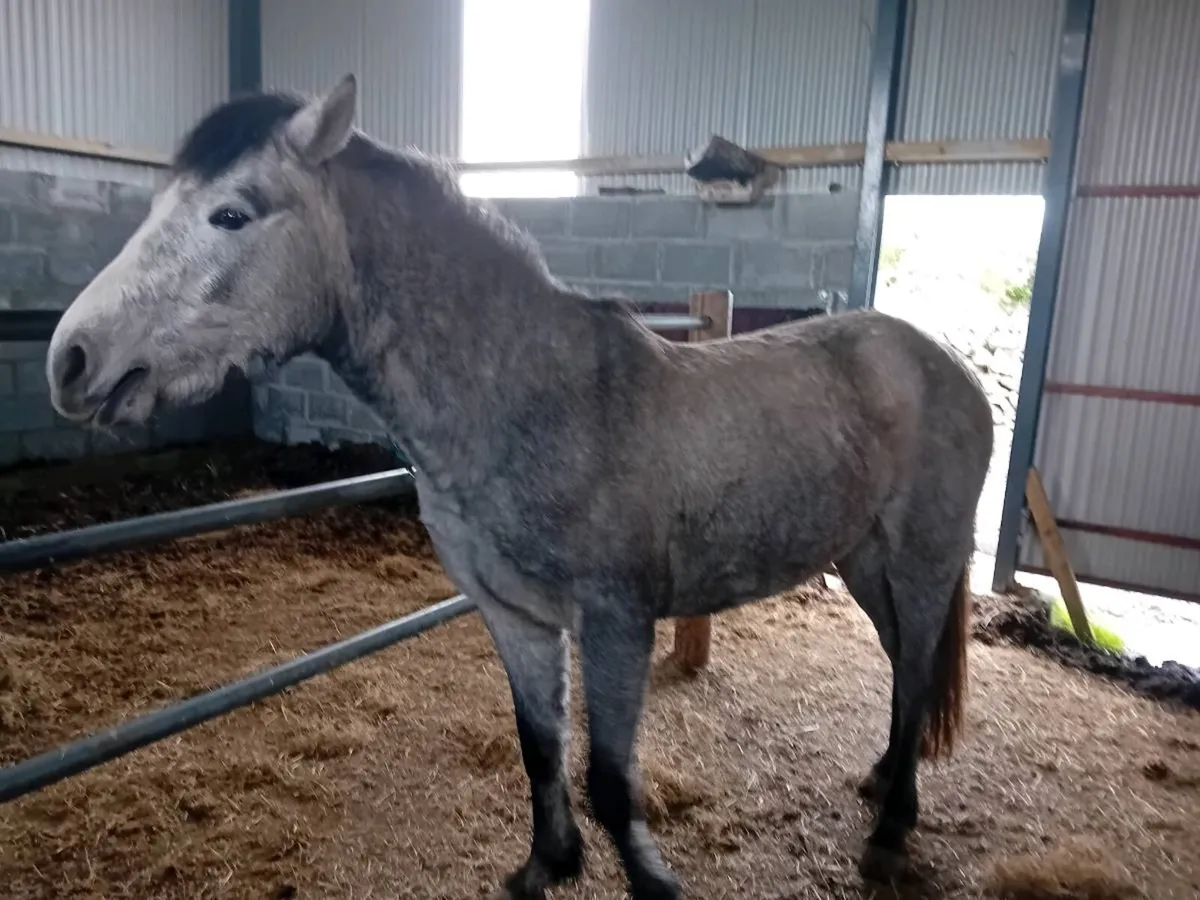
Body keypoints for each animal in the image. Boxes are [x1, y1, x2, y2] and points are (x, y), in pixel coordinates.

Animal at [45, 75, 994, 899]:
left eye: (232, 213)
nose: (73, 359)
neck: (529, 399)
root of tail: (947, 362)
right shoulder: (516, 618)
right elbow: (540, 747)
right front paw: (547, 867)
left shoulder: (617, 624)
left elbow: (611, 778)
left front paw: (650, 881)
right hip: (865, 562)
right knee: (903, 674)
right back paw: (881, 785)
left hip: (920, 562)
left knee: (916, 675)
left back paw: (890, 834)